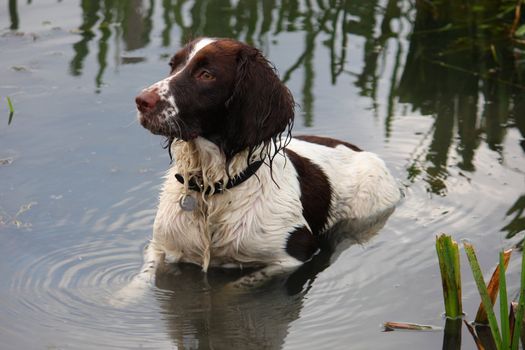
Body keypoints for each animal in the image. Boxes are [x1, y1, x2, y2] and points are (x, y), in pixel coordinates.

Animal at [130, 37, 398, 290]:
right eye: (173, 65)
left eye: (206, 74)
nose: (141, 101)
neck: (212, 190)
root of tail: (360, 150)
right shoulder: (162, 244)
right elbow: (141, 278)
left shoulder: (293, 256)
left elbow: (231, 289)